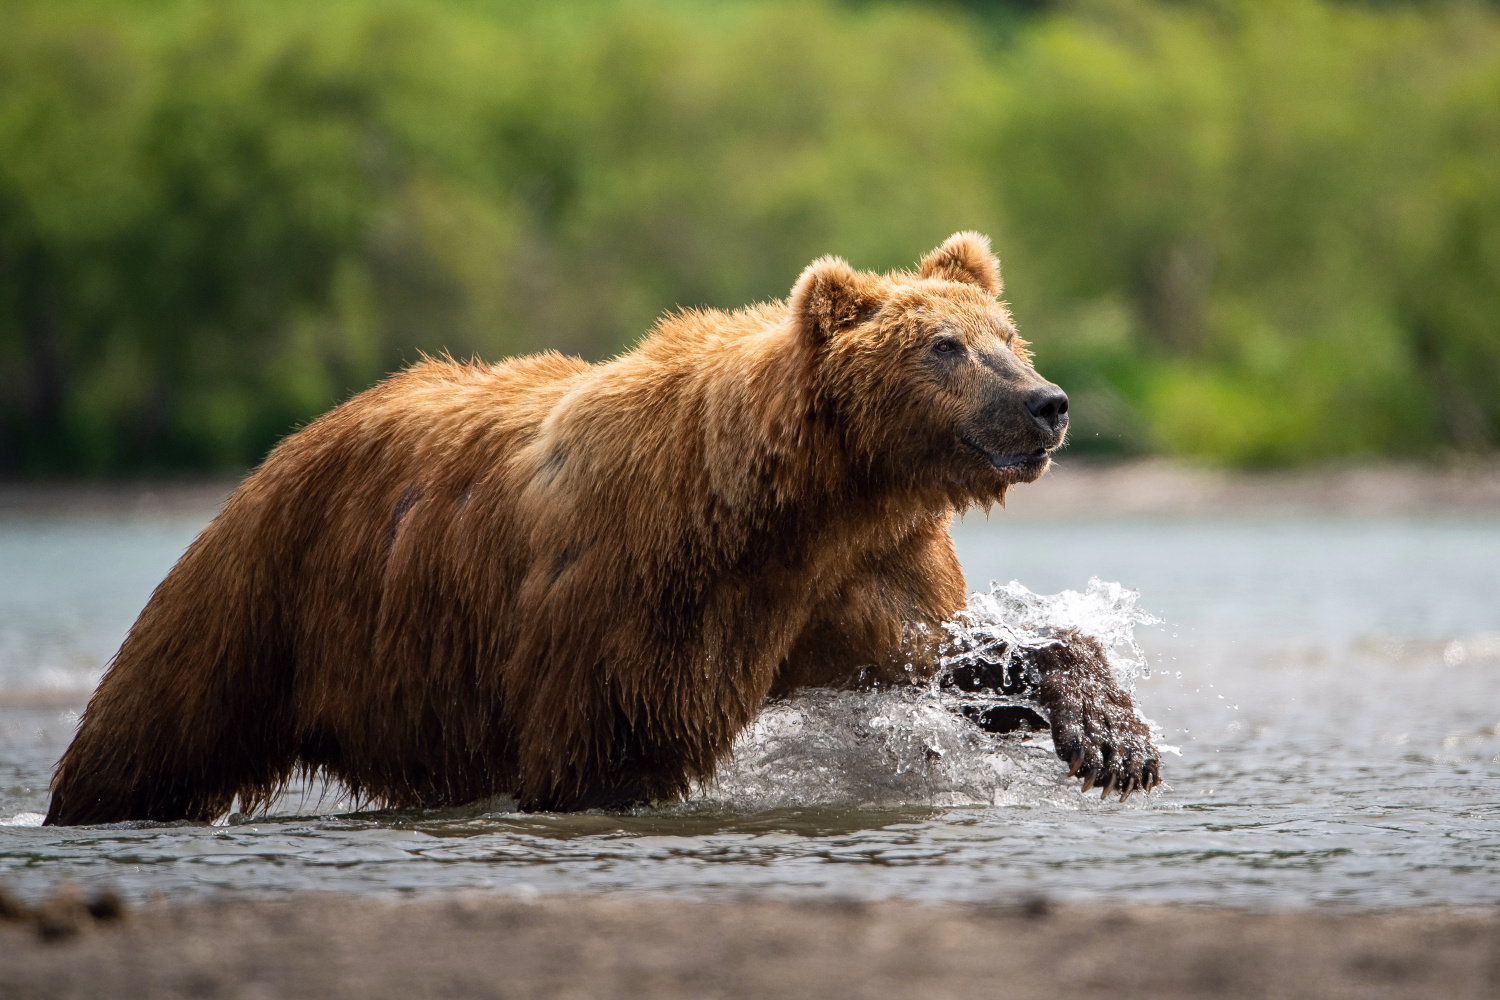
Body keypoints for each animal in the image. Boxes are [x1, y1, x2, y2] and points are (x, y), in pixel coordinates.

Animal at [46, 236, 1158, 827]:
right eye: (944, 347)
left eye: (1007, 336)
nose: (1049, 404)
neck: (802, 499)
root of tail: (285, 445)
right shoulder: (644, 588)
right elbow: (613, 742)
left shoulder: (850, 578)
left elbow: (950, 659)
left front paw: (1113, 740)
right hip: (260, 598)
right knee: (152, 733)